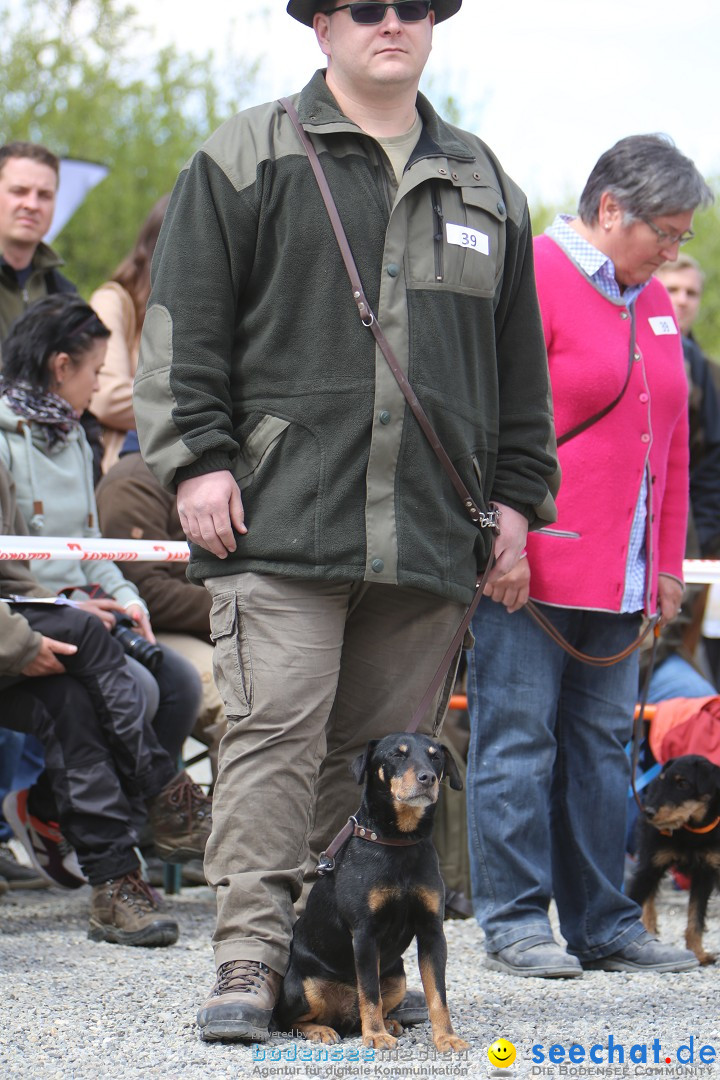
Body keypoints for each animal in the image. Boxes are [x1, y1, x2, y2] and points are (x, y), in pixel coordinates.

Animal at [273, 730, 470, 1049]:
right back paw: (322, 1030)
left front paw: (447, 1038)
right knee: (292, 1020)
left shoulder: (432, 931)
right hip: (306, 985)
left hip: (397, 977)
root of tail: (343, 1018)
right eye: (397, 755)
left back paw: (389, 1023)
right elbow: (369, 993)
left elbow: (438, 996)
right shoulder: (365, 933)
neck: (399, 841)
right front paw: (375, 1036)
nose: (428, 778)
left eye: (436, 757)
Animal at [626, 756, 720, 967]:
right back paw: (648, 925)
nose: (648, 812)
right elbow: (635, 898)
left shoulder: (705, 873)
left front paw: (698, 954)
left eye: (683, 783)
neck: (692, 830)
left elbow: (696, 916)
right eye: (663, 781)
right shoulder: (652, 863)